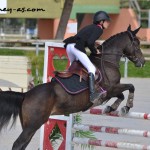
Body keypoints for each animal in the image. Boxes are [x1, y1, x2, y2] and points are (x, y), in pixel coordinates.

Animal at [0, 24, 145, 149]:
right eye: (137, 44)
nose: (143, 62)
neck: (107, 61)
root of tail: (25, 95)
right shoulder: (110, 89)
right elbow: (130, 86)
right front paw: (127, 106)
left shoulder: (110, 91)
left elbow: (121, 94)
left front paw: (112, 107)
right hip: (33, 125)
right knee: (18, 144)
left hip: (30, 125)